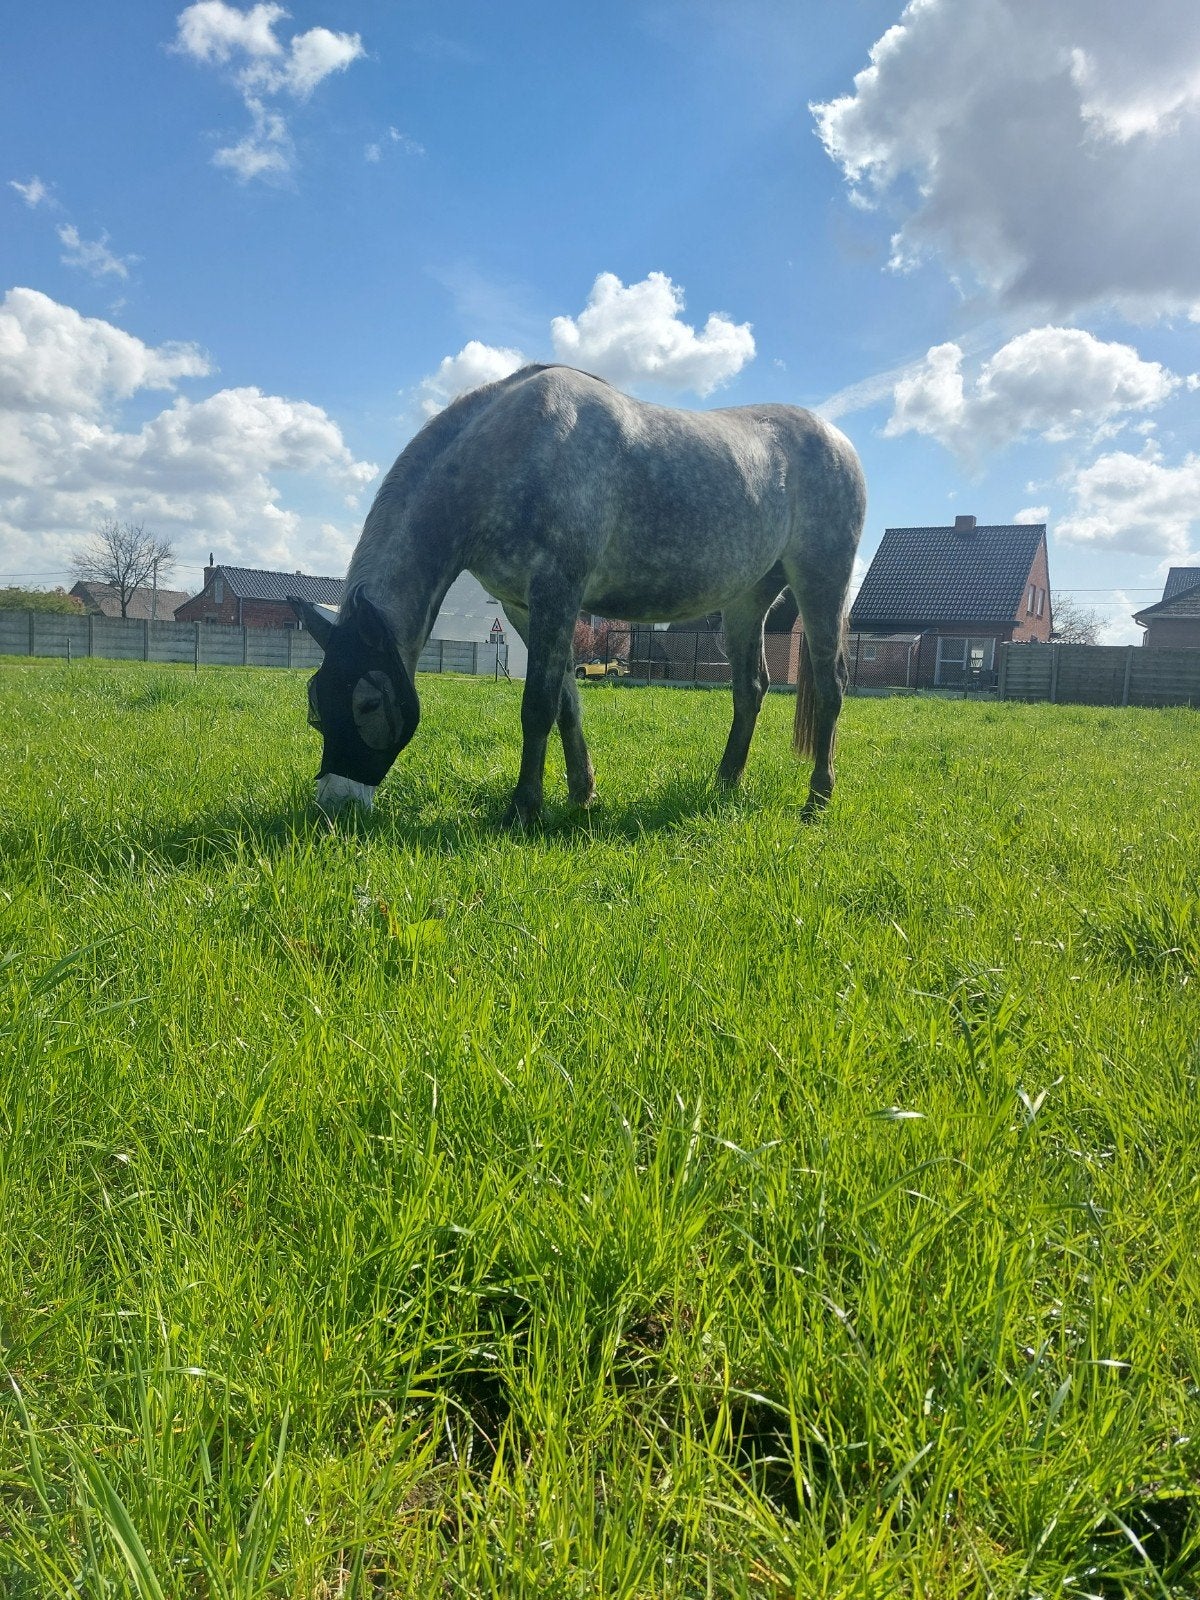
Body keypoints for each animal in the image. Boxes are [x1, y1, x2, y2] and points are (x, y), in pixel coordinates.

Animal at [290, 363, 866, 825]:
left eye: (368, 701)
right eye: (316, 702)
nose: (335, 807)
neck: (513, 452)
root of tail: (841, 442)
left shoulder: (557, 592)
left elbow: (538, 704)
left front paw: (523, 809)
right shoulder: (523, 607)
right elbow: (566, 700)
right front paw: (580, 795)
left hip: (821, 582)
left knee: (831, 686)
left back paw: (817, 801)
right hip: (747, 600)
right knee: (750, 687)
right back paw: (725, 784)